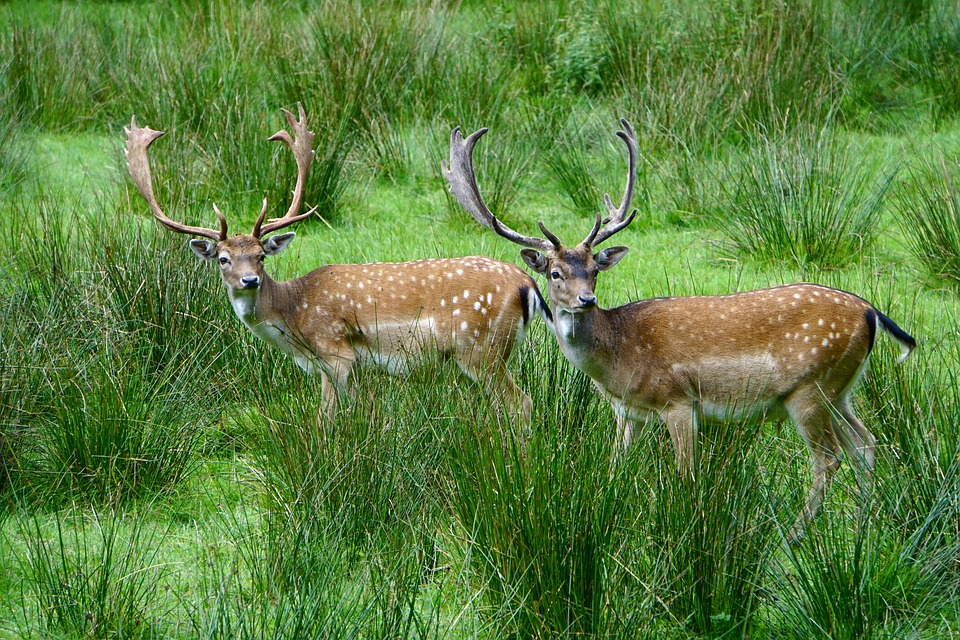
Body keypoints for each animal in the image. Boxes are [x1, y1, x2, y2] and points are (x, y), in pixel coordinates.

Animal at [124, 104, 552, 424]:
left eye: (261, 256)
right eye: (224, 259)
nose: (249, 281)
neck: (294, 321)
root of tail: (528, 285)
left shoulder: (336, 354)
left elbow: (326, 419)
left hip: (481, 350)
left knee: (521, 402)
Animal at [442, 119, 916, 536]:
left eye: (594, 270)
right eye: (556, 273)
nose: (586, 300)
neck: (619, 361)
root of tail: (872, 313)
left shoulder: (679, 401)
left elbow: (686, 475)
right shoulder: (629, 413)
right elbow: (615, 470)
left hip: (810, 388)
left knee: (829, 459)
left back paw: (794, 537)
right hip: (841, 389)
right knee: (866, 444)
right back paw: (861, 529)